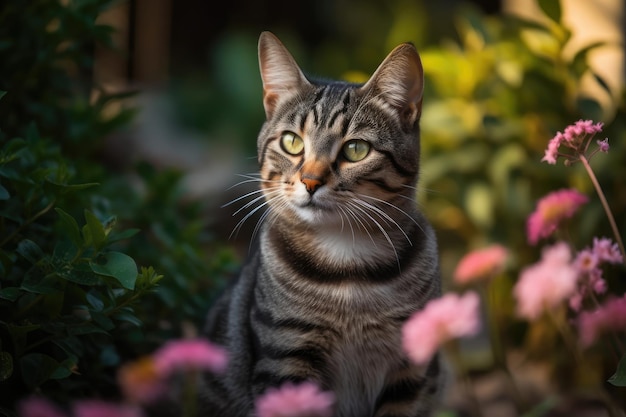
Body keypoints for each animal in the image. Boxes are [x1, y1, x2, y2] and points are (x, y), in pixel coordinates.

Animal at [197, 30, 442, 414]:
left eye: (356, 149)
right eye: (292, 142)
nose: (310, 181)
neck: (347, 267)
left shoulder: (411, 371)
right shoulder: (286, 360)